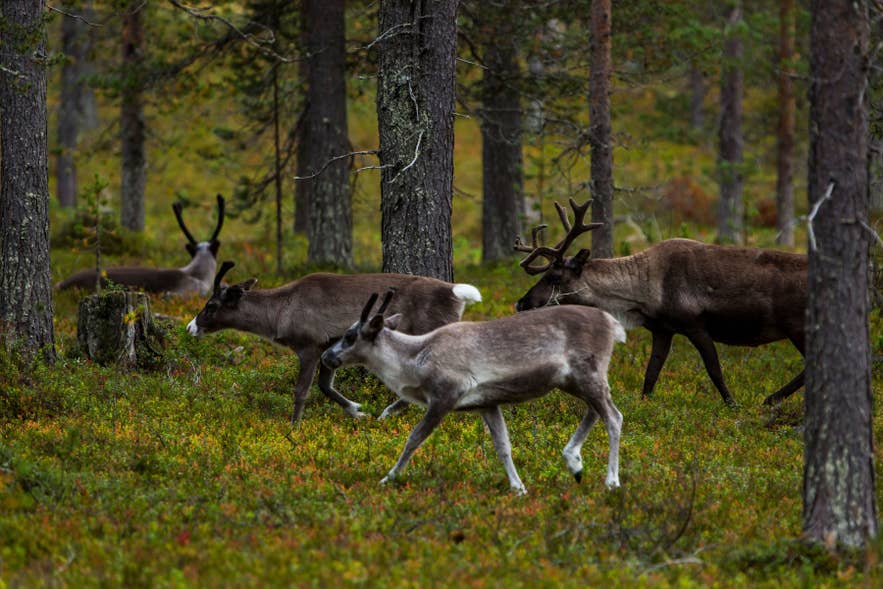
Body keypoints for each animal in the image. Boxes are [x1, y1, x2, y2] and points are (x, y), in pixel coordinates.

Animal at [186, 261, 483, 422]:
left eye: (211, 305)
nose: (191, 327)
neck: (279, 312)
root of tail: (455, 292)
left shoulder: (308, 346)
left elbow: (302, 390)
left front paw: (293, 428)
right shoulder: (327, 347)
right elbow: (325, 385)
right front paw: (357, 411)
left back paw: (388, 412)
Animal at [320, 290, 625, 495]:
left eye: (349, 336)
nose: (326, 356)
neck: (415, 360)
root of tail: (612, 323)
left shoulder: (444, 396)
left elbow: (413, 439)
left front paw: (388, 478)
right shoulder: (487, 403)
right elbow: (503, 446)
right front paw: (518, 487)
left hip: (588, 373)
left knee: (614, 416)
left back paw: (611, 481)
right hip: (574, 380)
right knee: (594, 411)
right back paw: (574, 462)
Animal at [514, 198, 808, 407]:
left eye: (554, 277)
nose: (521, 303)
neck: (643, 291)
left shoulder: (695, 326)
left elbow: (714, 369)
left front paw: (732, 405)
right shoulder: (662, 330)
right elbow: (651, 373)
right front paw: (644, 404)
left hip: (797, 328)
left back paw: (770, 399)